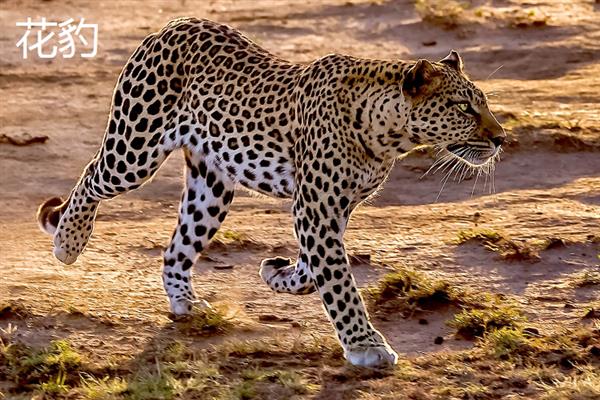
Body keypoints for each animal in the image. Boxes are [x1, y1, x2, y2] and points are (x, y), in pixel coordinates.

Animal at [37, 18, 504, 368]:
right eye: (464, 108)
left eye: (483, 103)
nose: (501, 138)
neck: (388, 133)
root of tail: (175, 24)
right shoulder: (316, 209)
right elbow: (340, 284)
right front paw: (365, 345)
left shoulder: (332, 210)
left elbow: (315, 272)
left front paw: (276, 273)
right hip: (134, 150)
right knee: (91, 176)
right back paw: (68, 241)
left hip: (211, 187)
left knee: (177, 247)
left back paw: (187, 302)